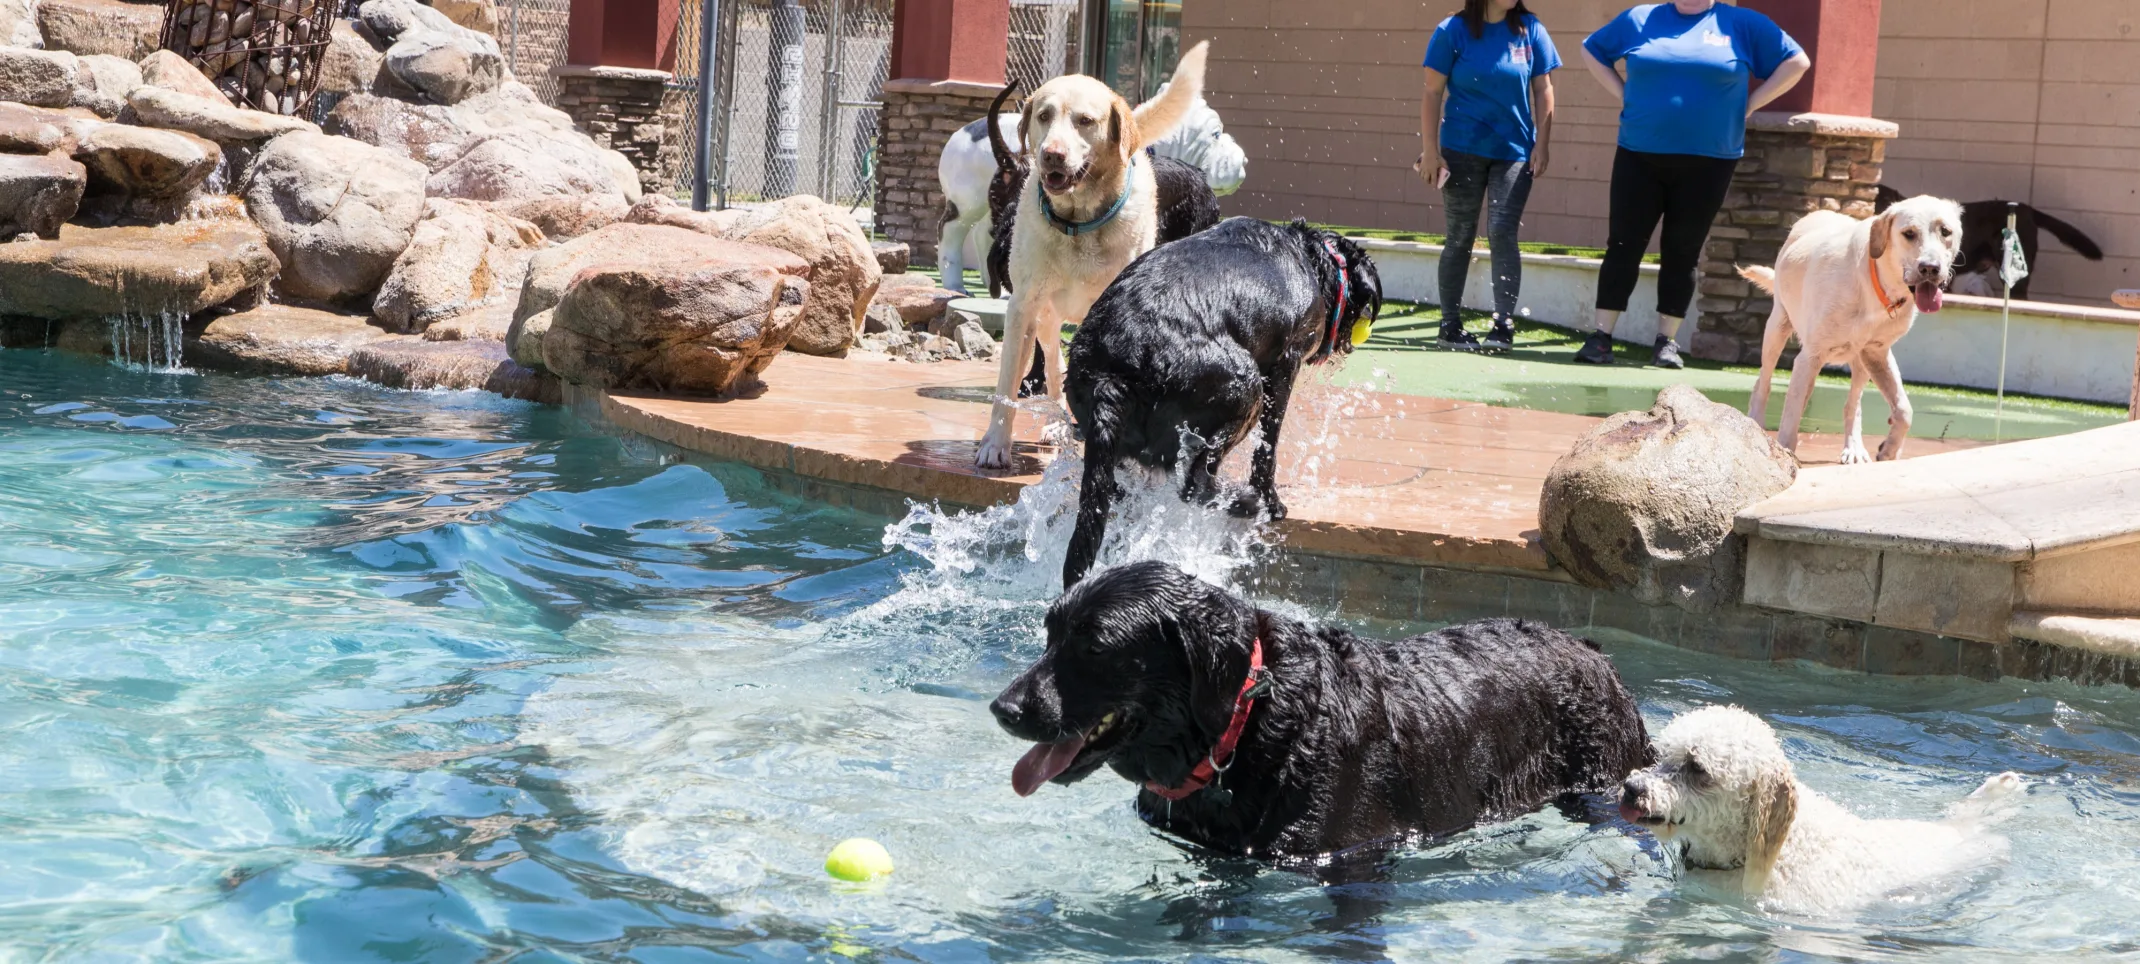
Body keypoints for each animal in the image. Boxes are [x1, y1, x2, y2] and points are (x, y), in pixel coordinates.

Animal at [980, 43, 1215, 473]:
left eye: (1086, 121)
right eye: (1043, 115)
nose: (1052, 155)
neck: (1079, 225)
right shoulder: (1023, 307)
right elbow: (1009, 383)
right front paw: (995, 445)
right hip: (1045, 318)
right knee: (1051, 365)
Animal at [1061, 218, 1378, 586]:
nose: (1350, 346)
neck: (1309, 258)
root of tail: (1112, 376)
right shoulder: (1285, 364)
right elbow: (1267, 448)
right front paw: (1271, 502)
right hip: (1244, 388)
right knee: (1195, 483)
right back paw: (1244, 501)